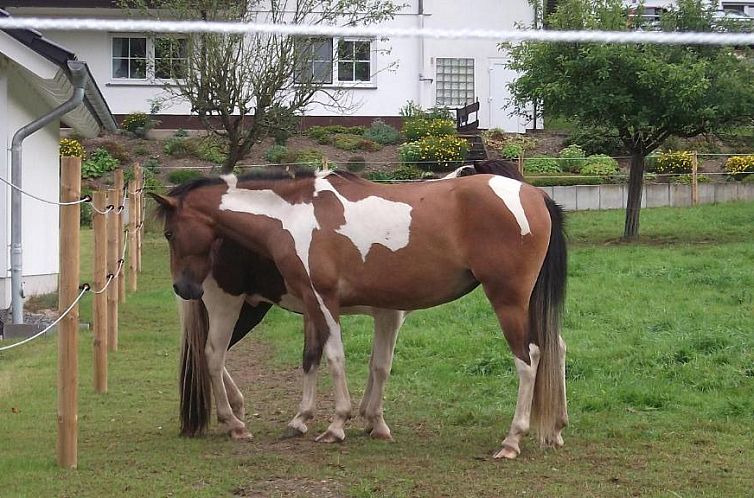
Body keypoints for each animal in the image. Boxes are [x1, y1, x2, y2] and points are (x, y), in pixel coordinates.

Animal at [153, 160, 564, 460]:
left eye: (169, 233)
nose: (183, 287)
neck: (294, 216)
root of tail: (534, 195)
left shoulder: (324, 300)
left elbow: (336, 358)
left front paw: (336, 426)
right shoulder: (329, 306)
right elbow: (337, 361)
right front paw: (347, 422)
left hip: (508, 301)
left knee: (529, 358)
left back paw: (512, 440)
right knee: (553, 349)